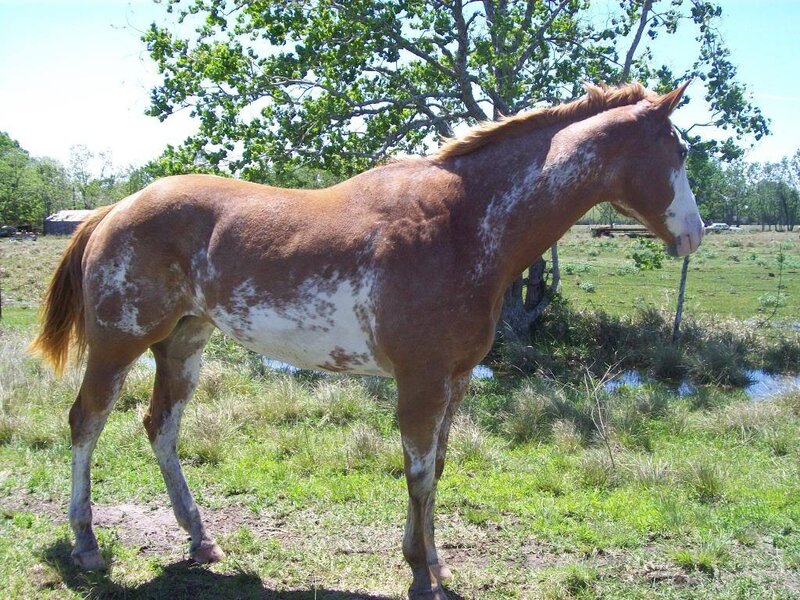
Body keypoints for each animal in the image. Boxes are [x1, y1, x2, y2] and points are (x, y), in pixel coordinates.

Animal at [31, 81, 703, 600]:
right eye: (679, 149)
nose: (694, 234)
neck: (464, 222)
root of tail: (116, 209)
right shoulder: (422, 382)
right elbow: (419, 473)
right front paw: (421, 576)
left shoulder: (455, 381)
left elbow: (437, 471)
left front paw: (433, 564)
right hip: (118, 346)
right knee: (86, 423)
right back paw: (87, 545)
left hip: (182, 345)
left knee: (161, 427)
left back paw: (201, 540)